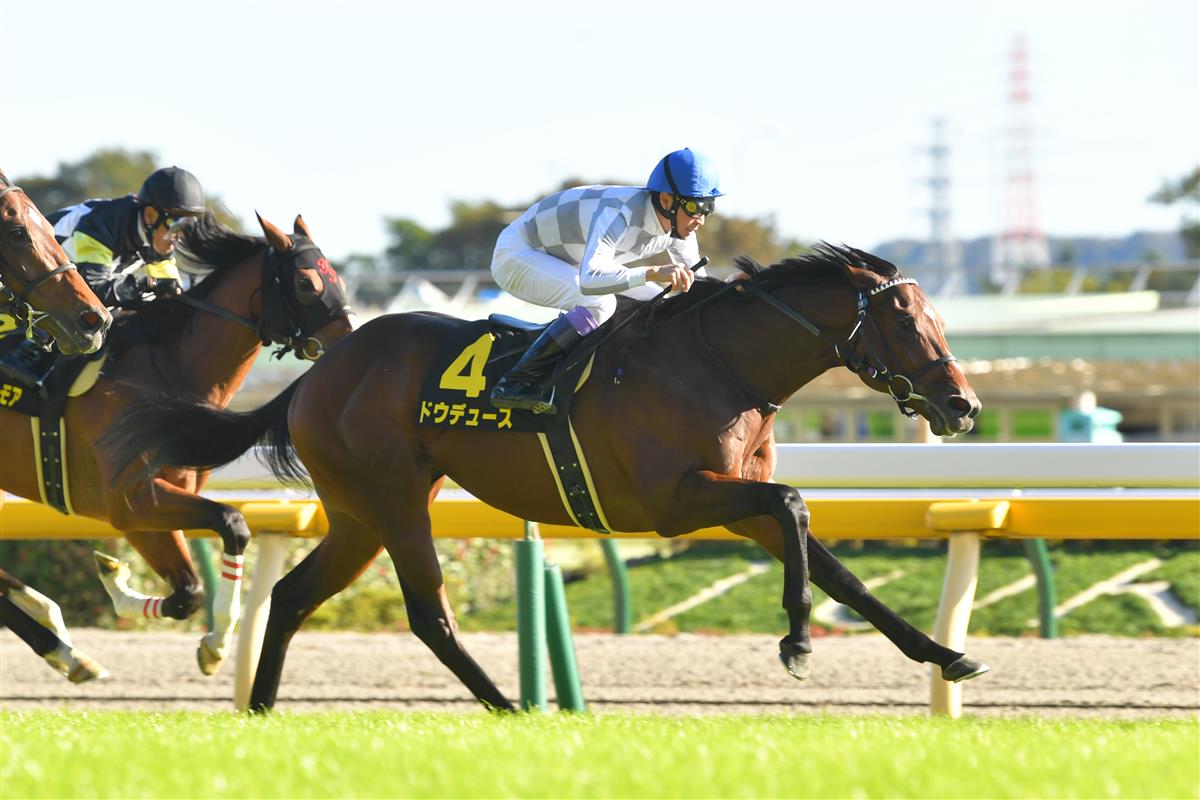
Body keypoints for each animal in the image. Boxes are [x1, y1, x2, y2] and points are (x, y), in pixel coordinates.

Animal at [0, 211, 354, 677]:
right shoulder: (130, 499)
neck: (166, 371)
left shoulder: (150, 505)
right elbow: (232, 525)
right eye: (306, 283)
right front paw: (216, 642)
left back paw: (50, 619)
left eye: (340, 281)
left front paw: (117, 581)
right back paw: (62, 649)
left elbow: (188, 590)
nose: (350, 343)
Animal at [105, 243, 988, 712]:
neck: (718, 364)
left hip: (359, 513)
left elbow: (840, 571)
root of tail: (321, 371)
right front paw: (798, 641)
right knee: (429, 615)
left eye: (941, 319)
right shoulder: (679, 500)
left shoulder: (733, 503)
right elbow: (797, 505)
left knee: (292, 596)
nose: (964, 404)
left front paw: (947, 656)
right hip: (394, 500)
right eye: (907, 322)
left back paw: (259, 710)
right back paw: (512, 706)